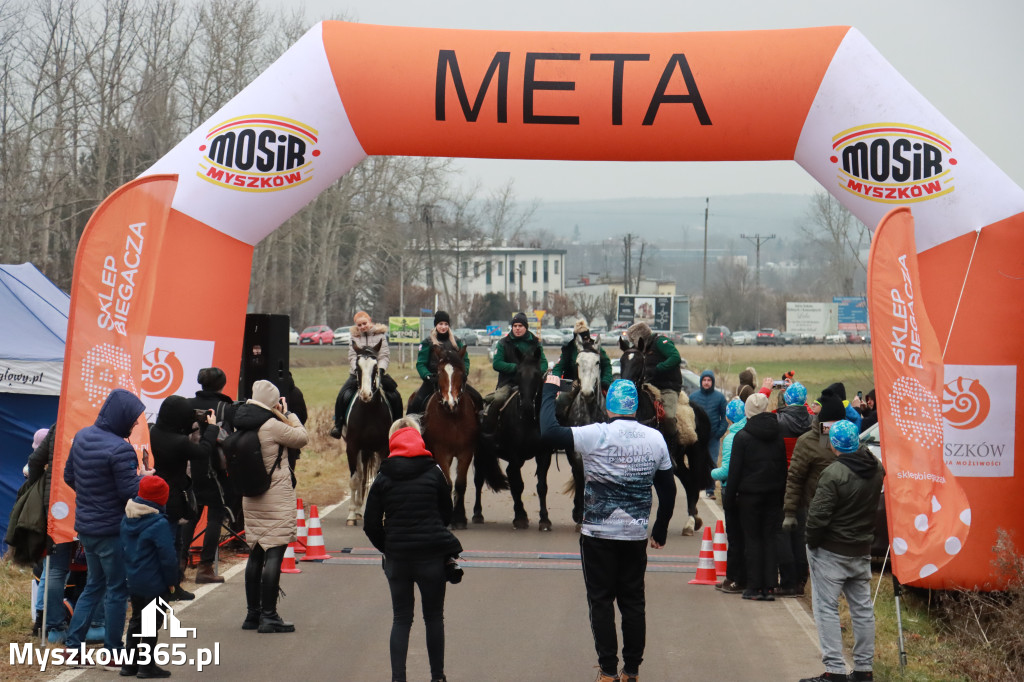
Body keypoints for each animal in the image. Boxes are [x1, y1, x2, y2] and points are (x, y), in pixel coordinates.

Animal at [342, 339, 393, 524]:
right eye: (357, 368)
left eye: (376, 367)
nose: (365, 394)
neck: (369, 411)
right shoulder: (352, 447)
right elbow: (355, 479)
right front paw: (351, 514)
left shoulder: (383, 448)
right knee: (361, 474)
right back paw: (357, 510)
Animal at [419, 346, 507, 524]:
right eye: (438, 373)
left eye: (462, 374)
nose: (450, 403)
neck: (453, 418)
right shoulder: (441, 451)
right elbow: (447, 482)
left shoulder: (466, 452)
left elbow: (460, 483)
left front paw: (459, 517)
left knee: (477, 479)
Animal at [487, 346, 552, 532]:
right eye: (518, 373)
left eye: (537, 374)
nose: (528, 406)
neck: (528, 419)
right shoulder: (515, 455)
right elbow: (518, 485)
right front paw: (521, 517)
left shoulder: (543, 454)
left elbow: (542, 486)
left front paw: (544, 520)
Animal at [614, 337, 712, 528]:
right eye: (622, 361)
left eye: (639, 361)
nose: (625, 386)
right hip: (679, 460)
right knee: (688, 481)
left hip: (696, 452)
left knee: (694, 481)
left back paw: (691, 521)